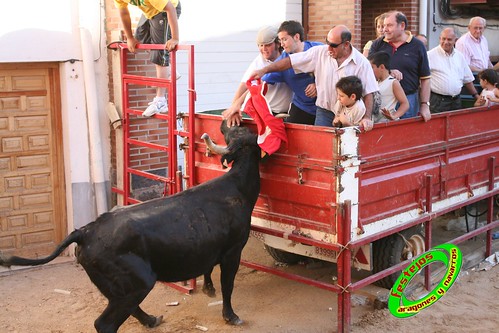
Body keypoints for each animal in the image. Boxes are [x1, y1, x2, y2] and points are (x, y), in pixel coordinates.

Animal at [0, 121, 264, 332]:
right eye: (238, 132)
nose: (227, 122)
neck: (237, 187)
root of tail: (86, 231)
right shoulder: (233, 251)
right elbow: (228, 285)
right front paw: (231, 316)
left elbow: (209, 271)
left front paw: (208, 288)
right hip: (137, 282)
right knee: (105, 323)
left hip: (119, 288)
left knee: (129, 310)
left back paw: (151, 320)